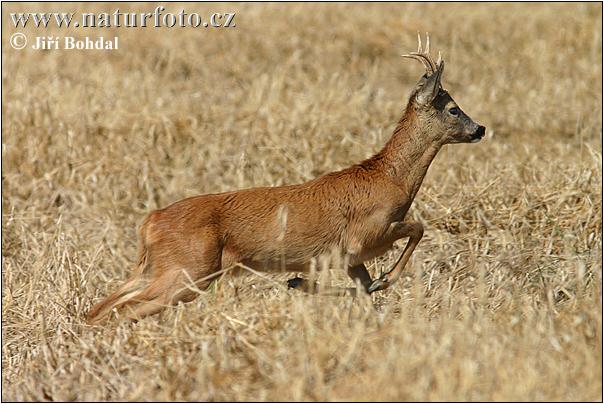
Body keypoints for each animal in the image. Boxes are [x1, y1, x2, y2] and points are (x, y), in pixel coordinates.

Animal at [86, 34, 486, 326]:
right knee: (122, 309)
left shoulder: (349, 258)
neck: (391, 179)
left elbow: (363, 289)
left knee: (102, 305)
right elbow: (418, 228)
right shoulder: (364, 236)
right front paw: (383, 278)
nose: (480, 128)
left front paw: (304, 283)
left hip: (160, 267)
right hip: (188, 271)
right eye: (453, 109)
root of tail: (150, 222)